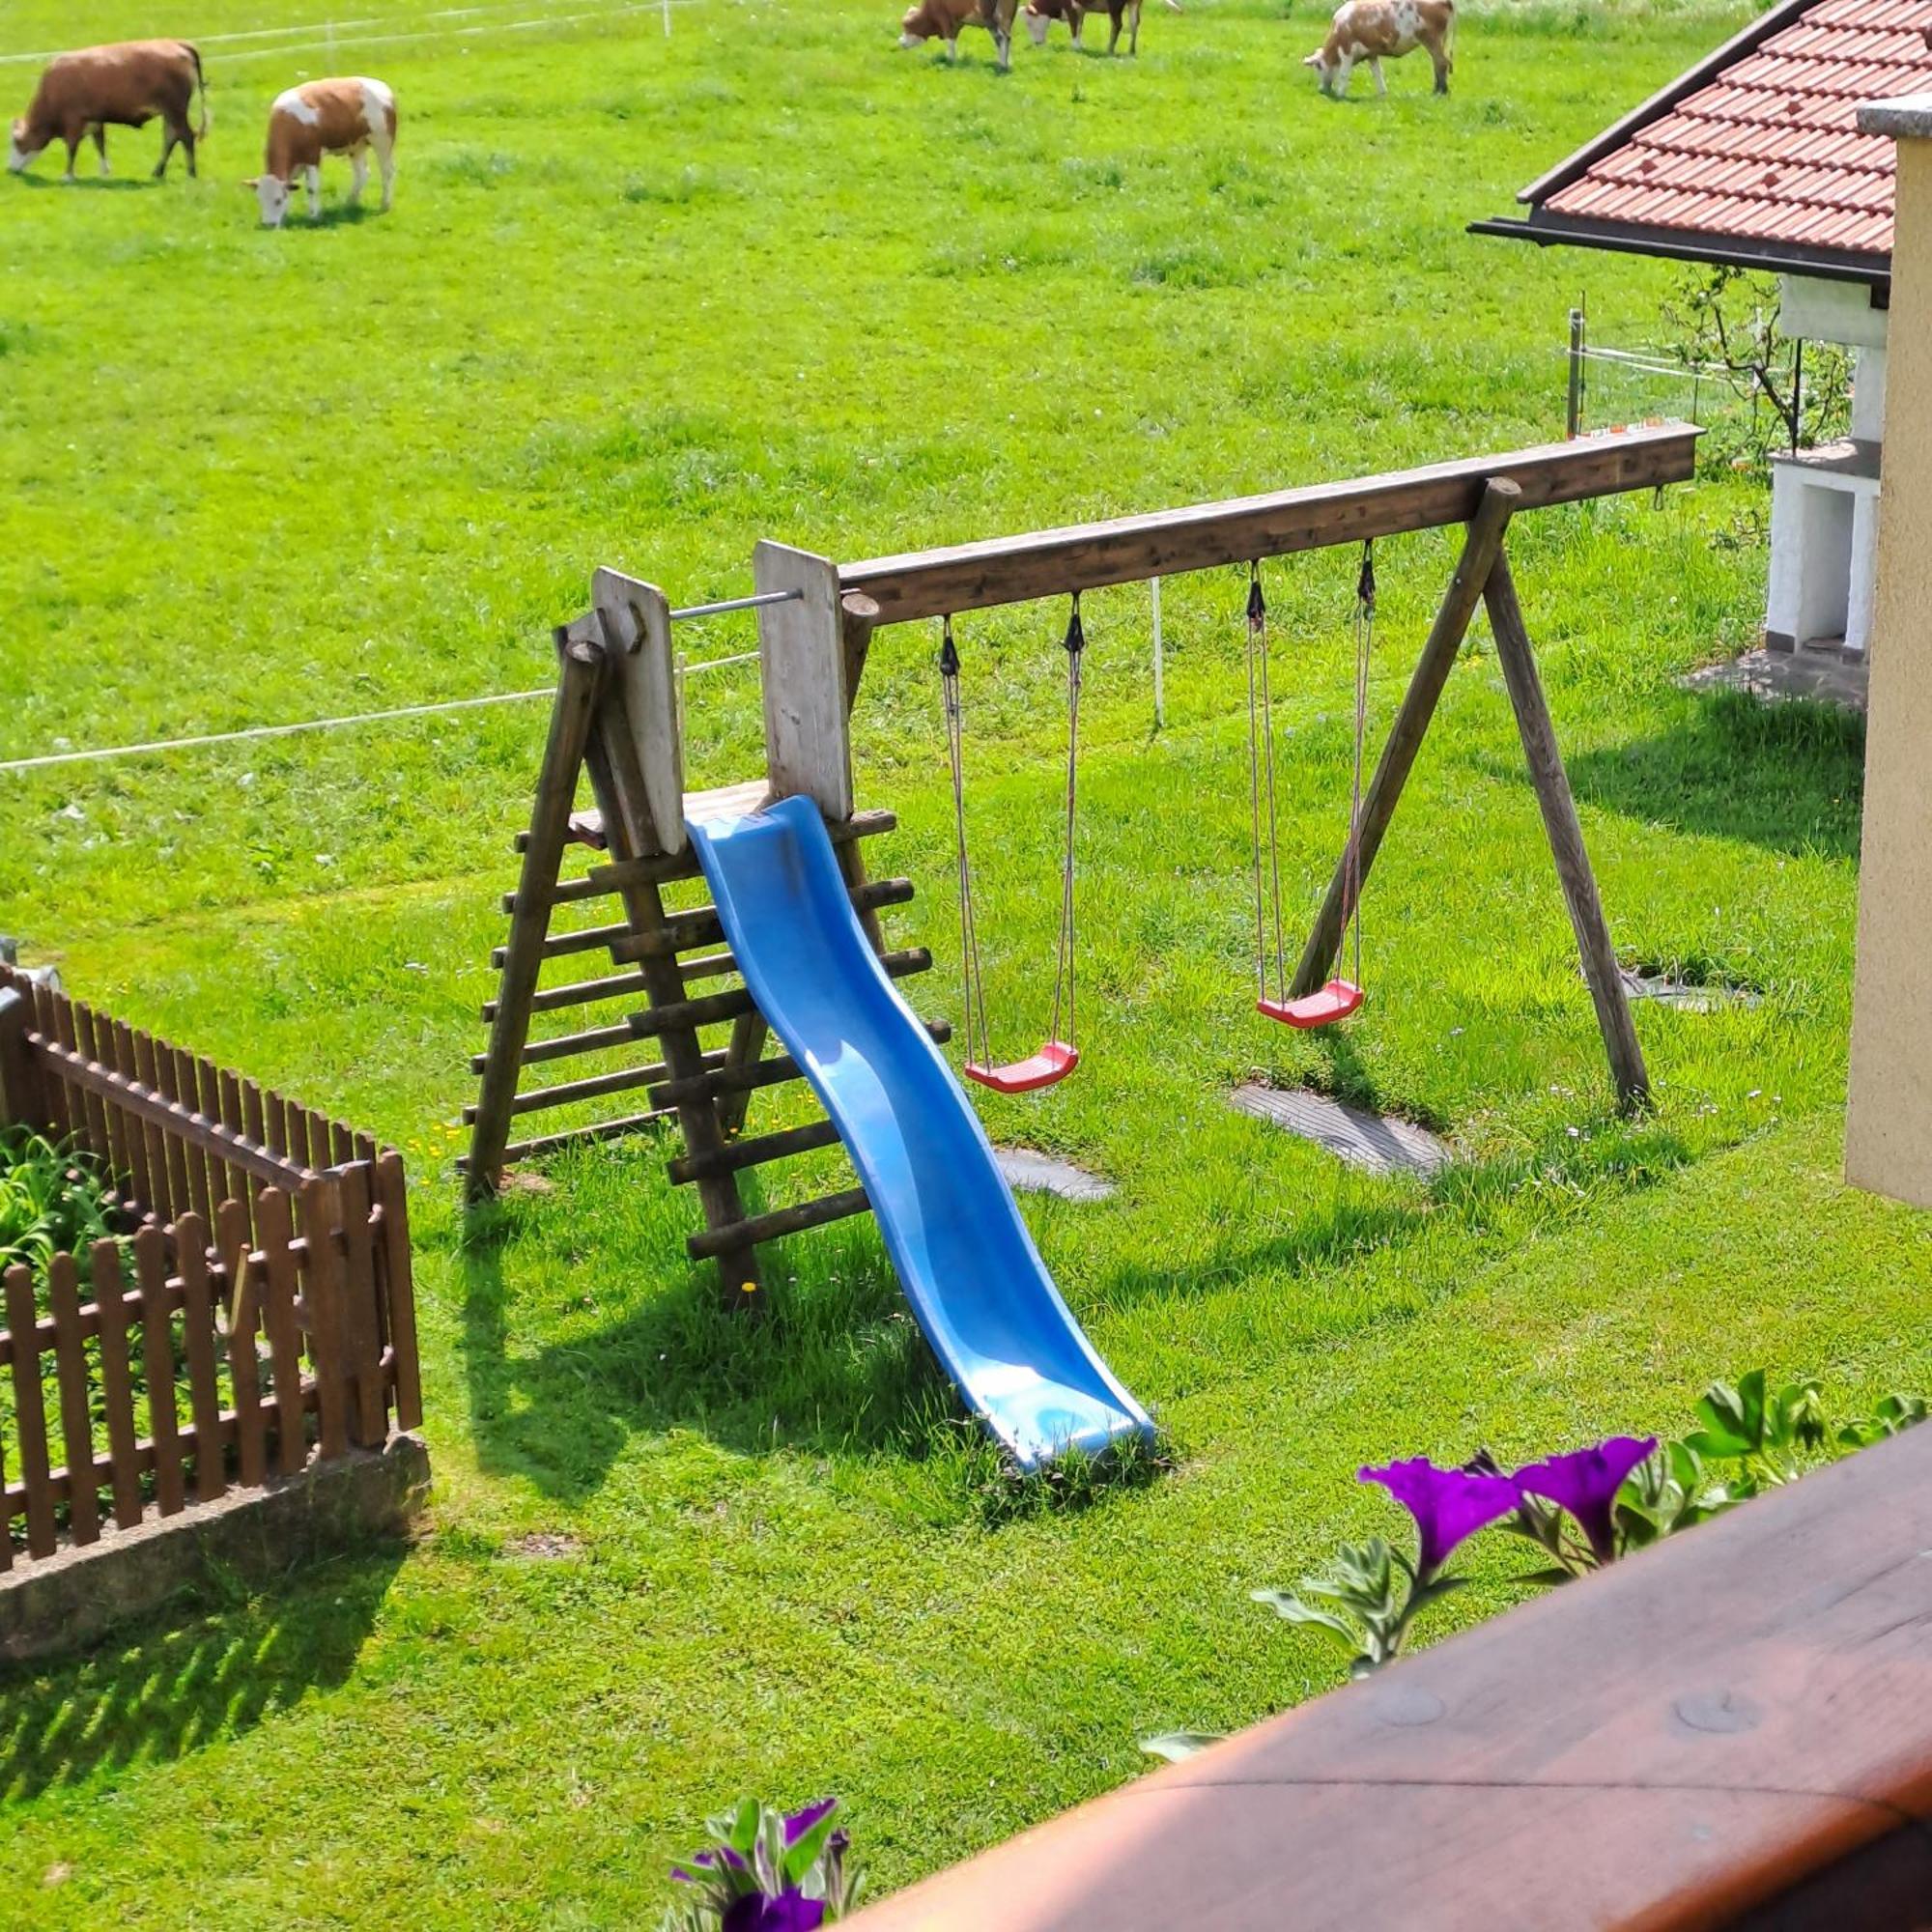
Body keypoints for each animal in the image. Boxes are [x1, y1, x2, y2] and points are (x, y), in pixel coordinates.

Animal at [6, 40, 210, 182]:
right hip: (170, 112)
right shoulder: (94, 120)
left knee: (185, 136)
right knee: (171, 137)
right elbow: (100, 144)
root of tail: (176, 43)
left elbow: (72, 148)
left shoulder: (73, 120)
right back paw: (157, 172)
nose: (10, 170)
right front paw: (104, 172)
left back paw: (191, 174)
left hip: (175, 109)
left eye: (16, 141)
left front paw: (68, 176)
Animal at [245, 77, 396, 228]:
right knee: (362, 174)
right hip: (356, 145)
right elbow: (289, 187)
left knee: (387, 172)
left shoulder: (312, 157)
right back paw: (350, 203)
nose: (268, 225)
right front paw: (286, 215)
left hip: (382, 140)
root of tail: (381, 86)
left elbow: (312, 188)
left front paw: (313, 216)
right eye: (259, 200)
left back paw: (385, 205)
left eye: (278, 200)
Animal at [900, 0, 1028, 70]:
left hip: (991, 17)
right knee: (1005, 38)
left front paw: (951, 60)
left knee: (1001, 37)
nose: (900, 42)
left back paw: (1002, 65)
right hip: (1006, 17)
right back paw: (1006, 63)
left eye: (907, 27)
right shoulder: (957, 22)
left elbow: (950, 41)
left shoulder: (945, 19)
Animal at [1306, 0, 1453, 98]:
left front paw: (1340, 94)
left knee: (1441, 63)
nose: (1321, 90)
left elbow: (1343, 74)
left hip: (1432, 40)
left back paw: (1441, 92)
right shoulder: (1371, 54)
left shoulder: (1347, 50)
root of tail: (1445, 2)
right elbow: (1378, 73)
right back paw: (1437, 90)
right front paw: (1383, 93)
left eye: (1318, 66)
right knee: (1437, 64)